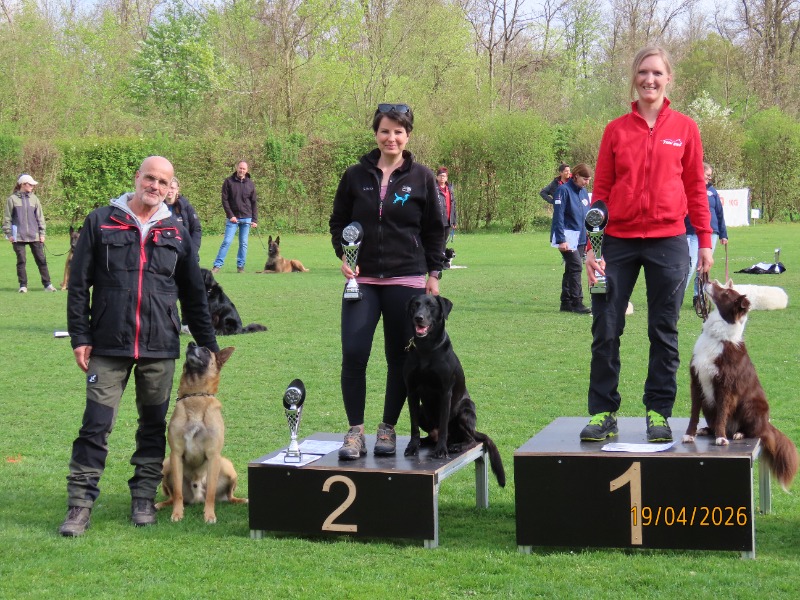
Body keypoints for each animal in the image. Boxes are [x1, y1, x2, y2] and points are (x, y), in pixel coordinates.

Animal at [156, 342, 247, 523]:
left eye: (205, 350)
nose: (191, 344)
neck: (195, 395)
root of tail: (196, 497)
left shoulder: (213, 456)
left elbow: (211, 493)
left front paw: (209, 515)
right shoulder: (176, 454)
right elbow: (178, 493)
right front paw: (177, 513)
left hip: (226, 465)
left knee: (228, 495)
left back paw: (239, 500)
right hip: (166, 464)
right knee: (172, 496)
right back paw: (162, 504)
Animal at [403, 294, 506, 487]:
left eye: (431, 306)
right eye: (415, 305)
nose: (418, 318)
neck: (426, 349)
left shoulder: (445, 393)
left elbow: (443, 425)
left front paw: (441, 450)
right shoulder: (411, 391)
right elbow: (413, 426)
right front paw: (413, 446)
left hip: (465, 410)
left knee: (471, 440)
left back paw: (455, 445)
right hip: (422, 410)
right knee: (432, 436)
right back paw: (424, 442)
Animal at [683, 279, 798, 490]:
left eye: (726, 293)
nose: (709, 281)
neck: (716, 337)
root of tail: (767, 424)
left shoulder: (725, 386)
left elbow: (722, 414)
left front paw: (721, 438)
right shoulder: (696, 381)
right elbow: (694, 413)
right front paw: (690, 434)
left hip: (751, 406)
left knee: (755, 432)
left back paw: (737, 434)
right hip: (708, 406)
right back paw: (707, 430)